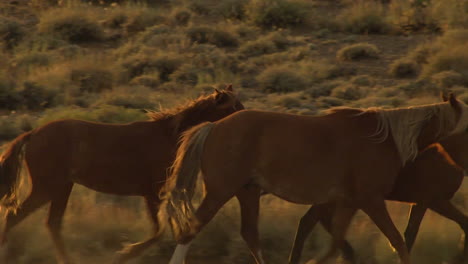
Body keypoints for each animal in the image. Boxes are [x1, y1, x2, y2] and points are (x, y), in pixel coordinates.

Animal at [0, 85, 243, 262]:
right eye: (233, 107)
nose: (244, 118)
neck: (169, 137)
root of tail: (32, 134)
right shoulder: (152, 192)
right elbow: (158, 232)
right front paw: (124, 254)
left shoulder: (155, 194)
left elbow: (166, 231)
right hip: (46, 188)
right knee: (15, 216)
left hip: (62, 188)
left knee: (52, 224)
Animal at [288, 131, 468, 262]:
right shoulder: (433, 200)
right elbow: (411, 233)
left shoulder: (423, 202)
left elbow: (410, 233)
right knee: (309, 222)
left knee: (316, 221)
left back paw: (347, 253)